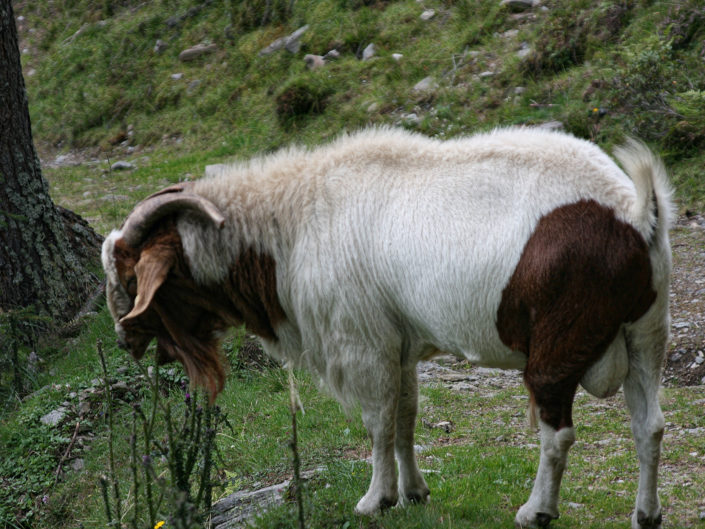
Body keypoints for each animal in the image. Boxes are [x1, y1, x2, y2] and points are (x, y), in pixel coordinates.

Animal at [102, 127, 672, 528]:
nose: (125, 341)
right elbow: (405, 417)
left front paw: (375, 499)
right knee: (650, 426)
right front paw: (413, 492)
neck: (293, 223)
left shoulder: (364, 343)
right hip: (648, 335)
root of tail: (633, 213)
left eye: (131, 277)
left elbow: (378, 423)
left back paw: (536, 512)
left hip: (557, 346)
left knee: (558, 434)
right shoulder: (399, 345)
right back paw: (646, 515)